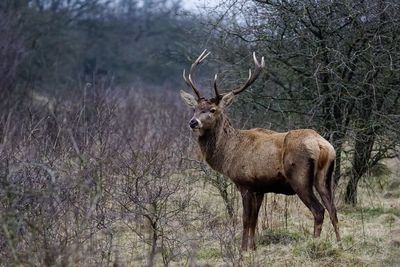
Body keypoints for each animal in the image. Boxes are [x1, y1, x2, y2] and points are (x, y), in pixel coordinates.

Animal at [181, 50, 340, 251]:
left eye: (213, 109)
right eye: (195, 108)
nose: (193, 122)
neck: (229, 154)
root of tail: (322, 145)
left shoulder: (245, 183)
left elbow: (246, 219)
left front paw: (242, 250)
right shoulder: (260, 188)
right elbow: (255, 220)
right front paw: (253, 247)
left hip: (300, 176)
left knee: (319, 210)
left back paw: (315, 244)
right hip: (325, 177)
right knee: (333, 208)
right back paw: (340, 243)